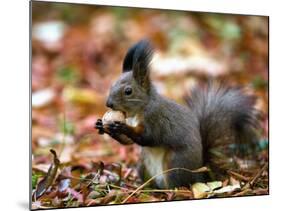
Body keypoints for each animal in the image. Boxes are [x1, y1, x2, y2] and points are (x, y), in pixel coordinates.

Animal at [95, 39, 260, 188]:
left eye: (128, 91)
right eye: (112, 85)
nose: (108, 104)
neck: (140, 110)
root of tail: (200, 174)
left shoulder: (156, 119)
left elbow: (148, 137)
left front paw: (122, 127)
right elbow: (128, 141)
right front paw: (102, 126)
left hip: (174, 164)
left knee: (176, 184)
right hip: (142, 164)